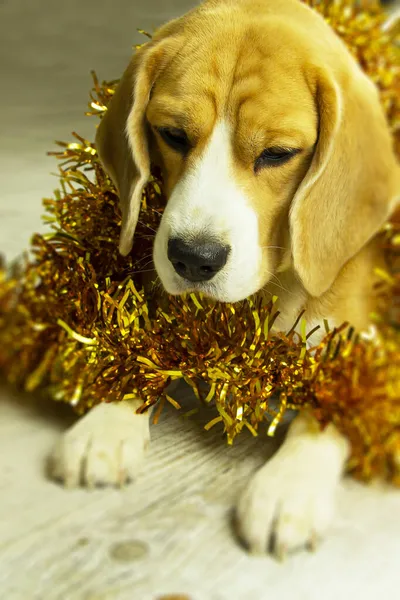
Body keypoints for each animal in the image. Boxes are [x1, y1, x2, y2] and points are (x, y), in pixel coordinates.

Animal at [51, 0, 398, 556]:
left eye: (278, 154)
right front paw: (107, 415)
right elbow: (139, 344)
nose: (195, 258)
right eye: (172, 134)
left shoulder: (356, 331)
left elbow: (340, 401)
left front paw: (289, 485)